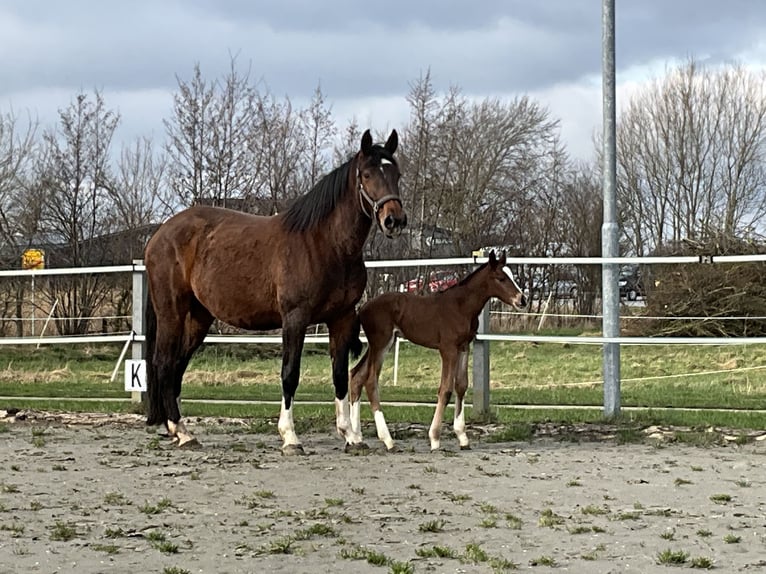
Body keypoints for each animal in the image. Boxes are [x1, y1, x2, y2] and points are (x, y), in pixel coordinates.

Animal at [145, 129, 408, 454]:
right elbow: (290, 374)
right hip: (171, 311)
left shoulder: (342, 318)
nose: (394, 220)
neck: (325, 244)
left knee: (178, 367)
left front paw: (351, 435)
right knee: (165, 364)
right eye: (368, 174)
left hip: (199, 317)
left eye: (396, 174)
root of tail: (159, 234)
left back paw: (179, 430)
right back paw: (181, 432)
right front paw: (290, 437)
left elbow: (339, 375)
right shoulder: (295, 318)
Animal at [348, 252, 528, 454]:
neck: (461, 306)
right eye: (501, 278)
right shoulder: (448, 349)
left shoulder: (463, 346)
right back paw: (388, 441)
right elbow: (446, 389)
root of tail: (362, 309)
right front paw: (434, 439)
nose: (522, 300)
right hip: (381, 343)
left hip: (380, 345)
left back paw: (355, 439)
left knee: (356, 376)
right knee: (370, 381)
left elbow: (461, 385)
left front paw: (463, 438)